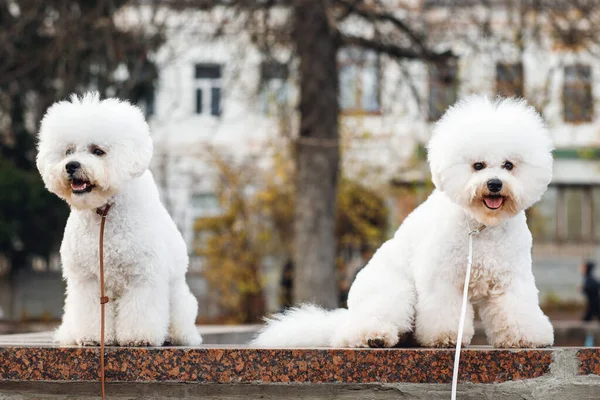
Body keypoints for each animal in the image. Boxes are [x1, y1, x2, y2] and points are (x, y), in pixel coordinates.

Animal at [37, 92, 202, 346]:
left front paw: (138, 337)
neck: (104, 210)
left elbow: (140, 310)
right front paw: (91, 337)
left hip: (178, 301)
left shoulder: (142, 276)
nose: (71, 165)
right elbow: (90, 311)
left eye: (97, 151)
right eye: (68, 151)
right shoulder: (88, 280)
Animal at [252, 95, 552, 348]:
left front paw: (525, 337)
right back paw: (374, 336)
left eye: (509, 165)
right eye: (478, 165)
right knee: (351, 331)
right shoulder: (441, 277)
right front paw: (445, 337)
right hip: (395, 292)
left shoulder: (512, 277)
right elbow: (444, 311)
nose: (494, 184)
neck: (480, 226)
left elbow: (517, 308)